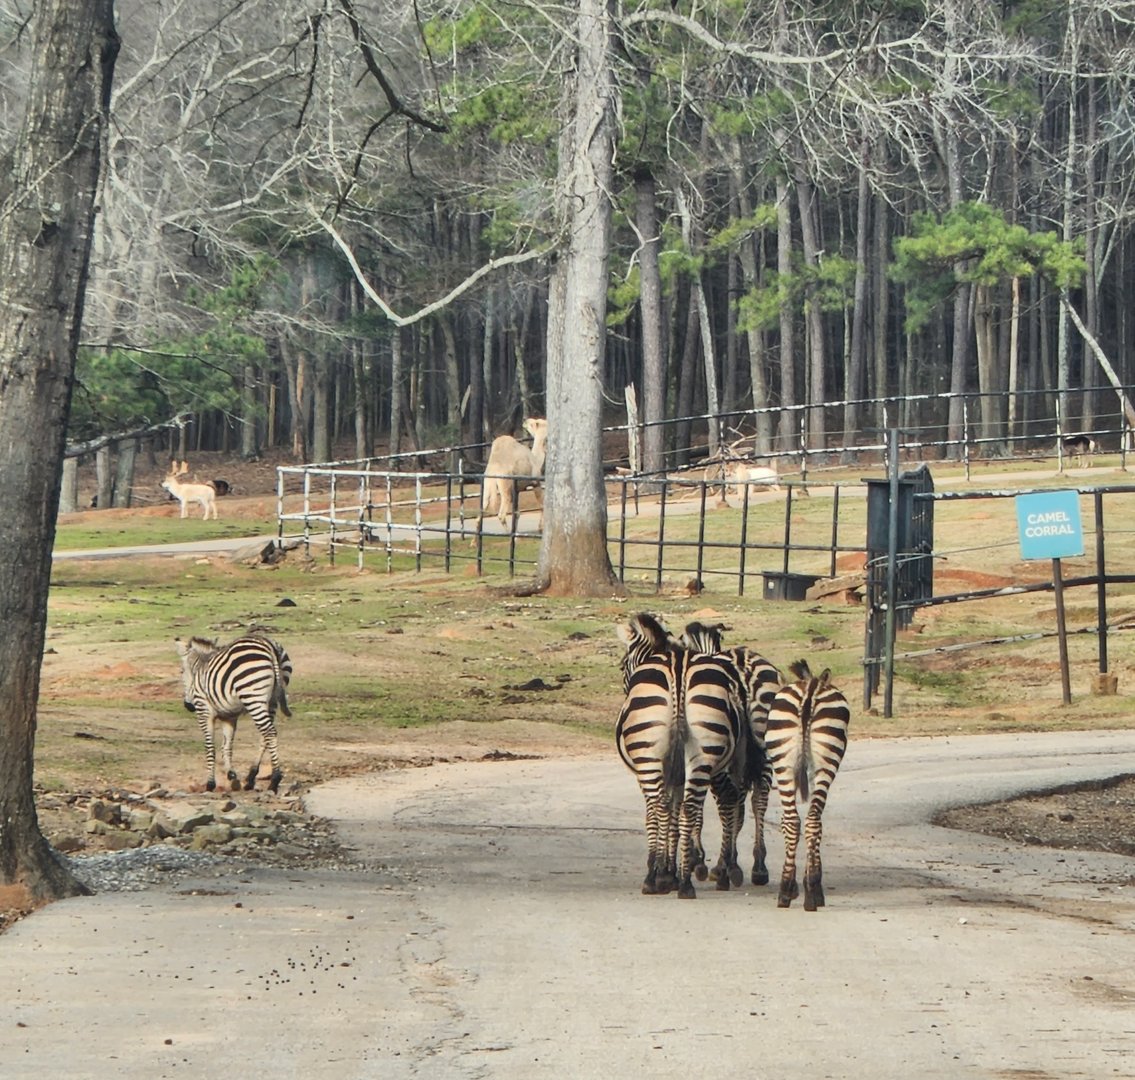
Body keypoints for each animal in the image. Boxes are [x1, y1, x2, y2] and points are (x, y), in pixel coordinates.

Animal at [176, 634, 293, 794]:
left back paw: (274, 780)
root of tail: (268, 644)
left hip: (253, 696)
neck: (200, 668)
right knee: (265, 736)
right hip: (272, 701)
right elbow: (227, 746)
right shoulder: (229, 717)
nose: (188, 706)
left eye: (182, 671)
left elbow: (210, 747)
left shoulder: (204, 710)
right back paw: (250, 778)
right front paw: (231, 775)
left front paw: (210, 784)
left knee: (270, 733)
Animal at [616, 613, 747, 898]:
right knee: (694, 807)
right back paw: (690, 881)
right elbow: (676, 815)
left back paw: (653, 878)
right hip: (704, 753)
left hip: (649, 755)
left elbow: (658, 813)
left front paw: (663, 871)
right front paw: (672, 873)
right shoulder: (677, 774)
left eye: (622, 666)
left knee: (660, 806)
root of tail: (678, 668)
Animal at [681, 622, 780, 886]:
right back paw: (758, 866)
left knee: (728, 800)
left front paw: (698, 859)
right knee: (759, 799)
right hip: (763, 746)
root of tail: (742, 670)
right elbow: (740, 810)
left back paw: (723, 868)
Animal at [765, 660, 851, 910]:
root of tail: (811, 688)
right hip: (821, 762)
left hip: (784, 762)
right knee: (810, 820)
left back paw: (789, 891)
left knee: (796, 821)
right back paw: (807, 892)